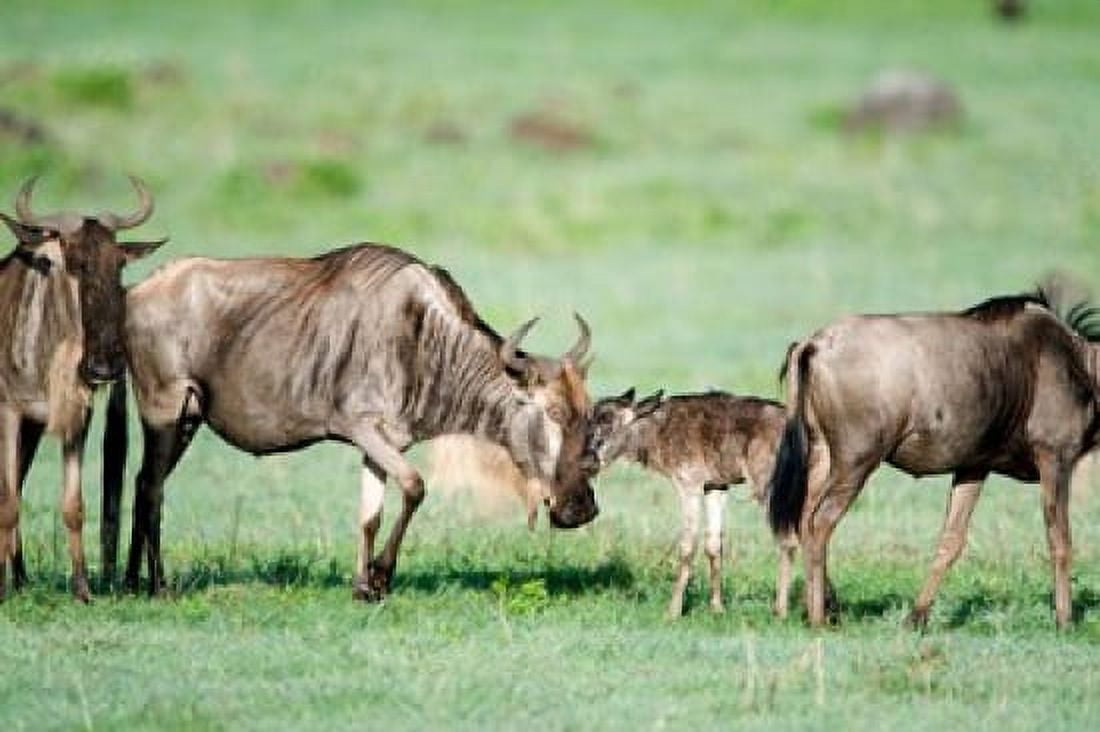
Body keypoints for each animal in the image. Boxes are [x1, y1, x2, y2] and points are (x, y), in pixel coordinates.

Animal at [0, 175, 164, 601]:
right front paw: (1, 589)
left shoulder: (73, 418)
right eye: (74, 264)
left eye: (119, 264)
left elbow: (73, 504)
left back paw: (21, 578)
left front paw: (81, 588)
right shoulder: (8, 413)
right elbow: (7, 502)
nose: (104, 365)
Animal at [103, 243, 599, 599]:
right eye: (553, 413)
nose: (582, 509)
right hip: (164, 413)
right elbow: (415, 487)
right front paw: (380, 576)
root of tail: (135, 293)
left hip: (187, 420)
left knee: (144, 482)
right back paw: (159, 587)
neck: (422, 339)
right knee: (152, 487)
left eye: (587, 412)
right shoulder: (363, 428)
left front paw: (364, 586)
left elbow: (370, 515)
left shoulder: (383, 444)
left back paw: (131, 584)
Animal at [583, 389, 801, 618]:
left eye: (608, 421)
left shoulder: (689, 485)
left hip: (769, 488)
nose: (586, 462)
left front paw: (673, 611)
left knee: (788, 540)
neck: (656, 430)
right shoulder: (716, 486)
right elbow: (713, 545)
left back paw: (781, 611)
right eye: (590, 421)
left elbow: (687, 546)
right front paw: (717, 608)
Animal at [768, 290, 1100, 629]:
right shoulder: (1056, 457)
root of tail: (815, 343)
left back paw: (820, 607)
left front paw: (916, 617)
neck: (1083, 363)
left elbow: (951, 540)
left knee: (802, 520)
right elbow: (1060, 540)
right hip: (856, 462)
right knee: (820, 522)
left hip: (822, 456)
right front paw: (1064, 620)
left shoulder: (974, 466)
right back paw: (819, 618)